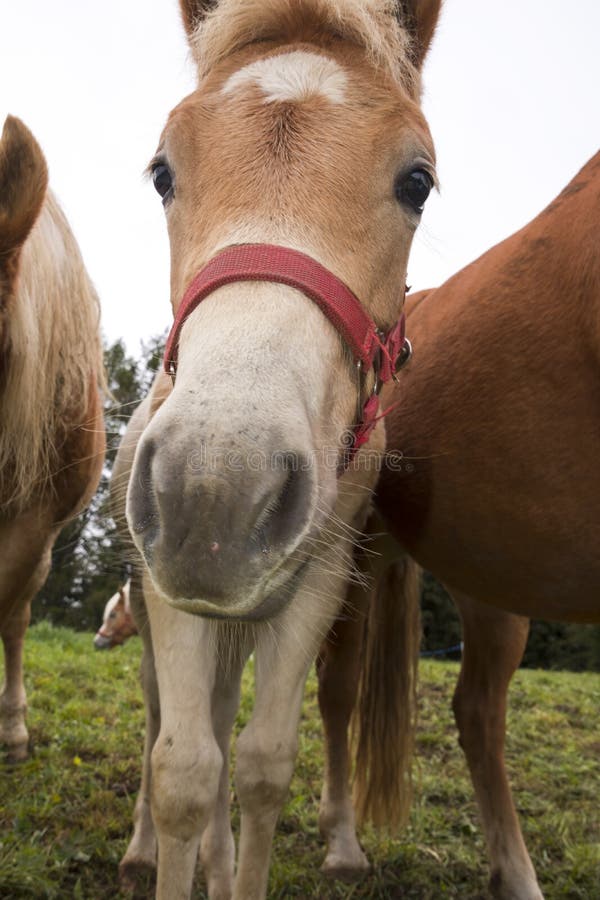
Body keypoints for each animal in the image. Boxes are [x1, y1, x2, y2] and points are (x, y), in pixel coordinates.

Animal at [120, 3, 440, 896]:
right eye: (162, 173)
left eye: (417, 182)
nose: (213, 494)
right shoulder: (166, 593)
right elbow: (183, 772)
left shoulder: (319, 585)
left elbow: (261, 765)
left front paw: (238, 872)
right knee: (166, 726)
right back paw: (142, 849)